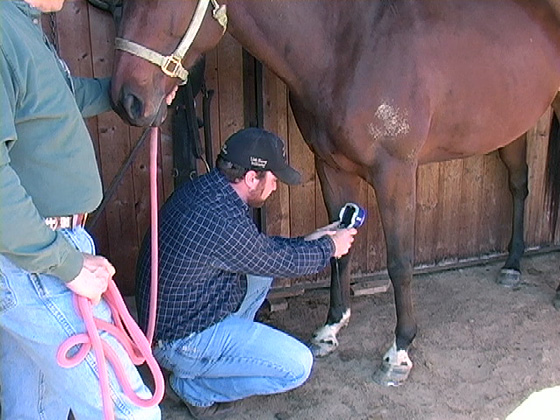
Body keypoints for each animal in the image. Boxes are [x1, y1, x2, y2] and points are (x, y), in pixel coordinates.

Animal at [110, 0, 560, 386]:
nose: (125, 100)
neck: (348, 47)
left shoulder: (396, 171)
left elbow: (400, 262)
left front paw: (399, 351)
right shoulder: (330, 166)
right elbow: (339, 248)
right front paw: (332, 326)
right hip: (513, 126)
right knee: (519, 185)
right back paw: (512, 266)